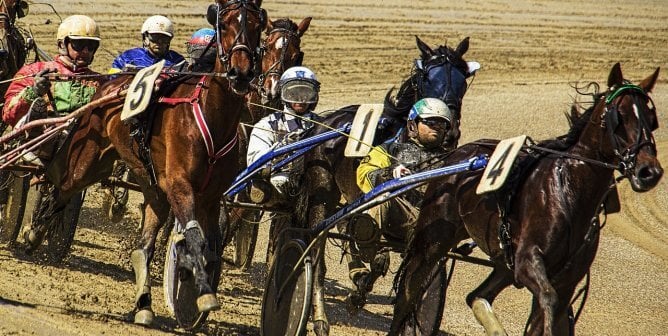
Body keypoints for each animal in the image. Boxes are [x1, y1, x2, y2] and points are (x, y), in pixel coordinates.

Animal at [24, 0, 268, 328]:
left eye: (257, 25)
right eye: (225, 23)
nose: (240, 73)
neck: (212, 116)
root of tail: (111, 82)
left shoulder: (210, 197)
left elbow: (210, 246)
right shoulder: (180, 185)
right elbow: (193, 236)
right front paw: (203, 291)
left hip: (152, 187)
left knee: (143, 246)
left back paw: (143, 304)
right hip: (88, 161)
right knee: (60, 188)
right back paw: (34, 232)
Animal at [294, 35, 478, 334]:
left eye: (463, 80)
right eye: (427, 77)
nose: (447, 128)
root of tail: (326, 122)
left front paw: (361, 287)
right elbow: (378, 254)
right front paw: (359, 290)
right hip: (323, 192)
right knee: (319, 250)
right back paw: (320, 317)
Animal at [388, 61, 660, 334]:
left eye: (651, 119)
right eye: (619, 116)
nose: (649, 172)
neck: (569, 191)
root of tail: (458, 155)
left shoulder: (567, 279)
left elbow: (546, 316)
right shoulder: (528, 261)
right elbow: (548, 301)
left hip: (503, 260)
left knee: (477, 295)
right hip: (433, 241)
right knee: (408, 293)